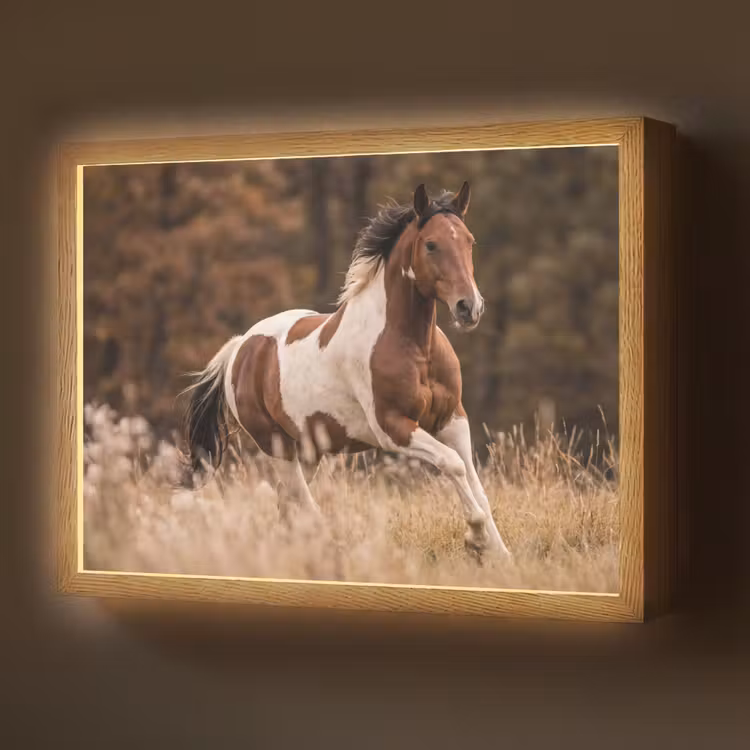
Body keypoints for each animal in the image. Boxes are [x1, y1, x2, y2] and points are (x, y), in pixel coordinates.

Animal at [182, 181, 511, 560]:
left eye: (469, 241)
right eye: (431, 244)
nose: (469, 307)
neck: (414, 347)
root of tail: (240, 348)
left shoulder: (452, 419)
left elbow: (474, 482)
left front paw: (500, 553)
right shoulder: (393, 428)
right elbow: (453, 465)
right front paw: (476, 538)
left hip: (307, 450)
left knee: (287, 504)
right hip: (276, 445)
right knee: (301, 504)